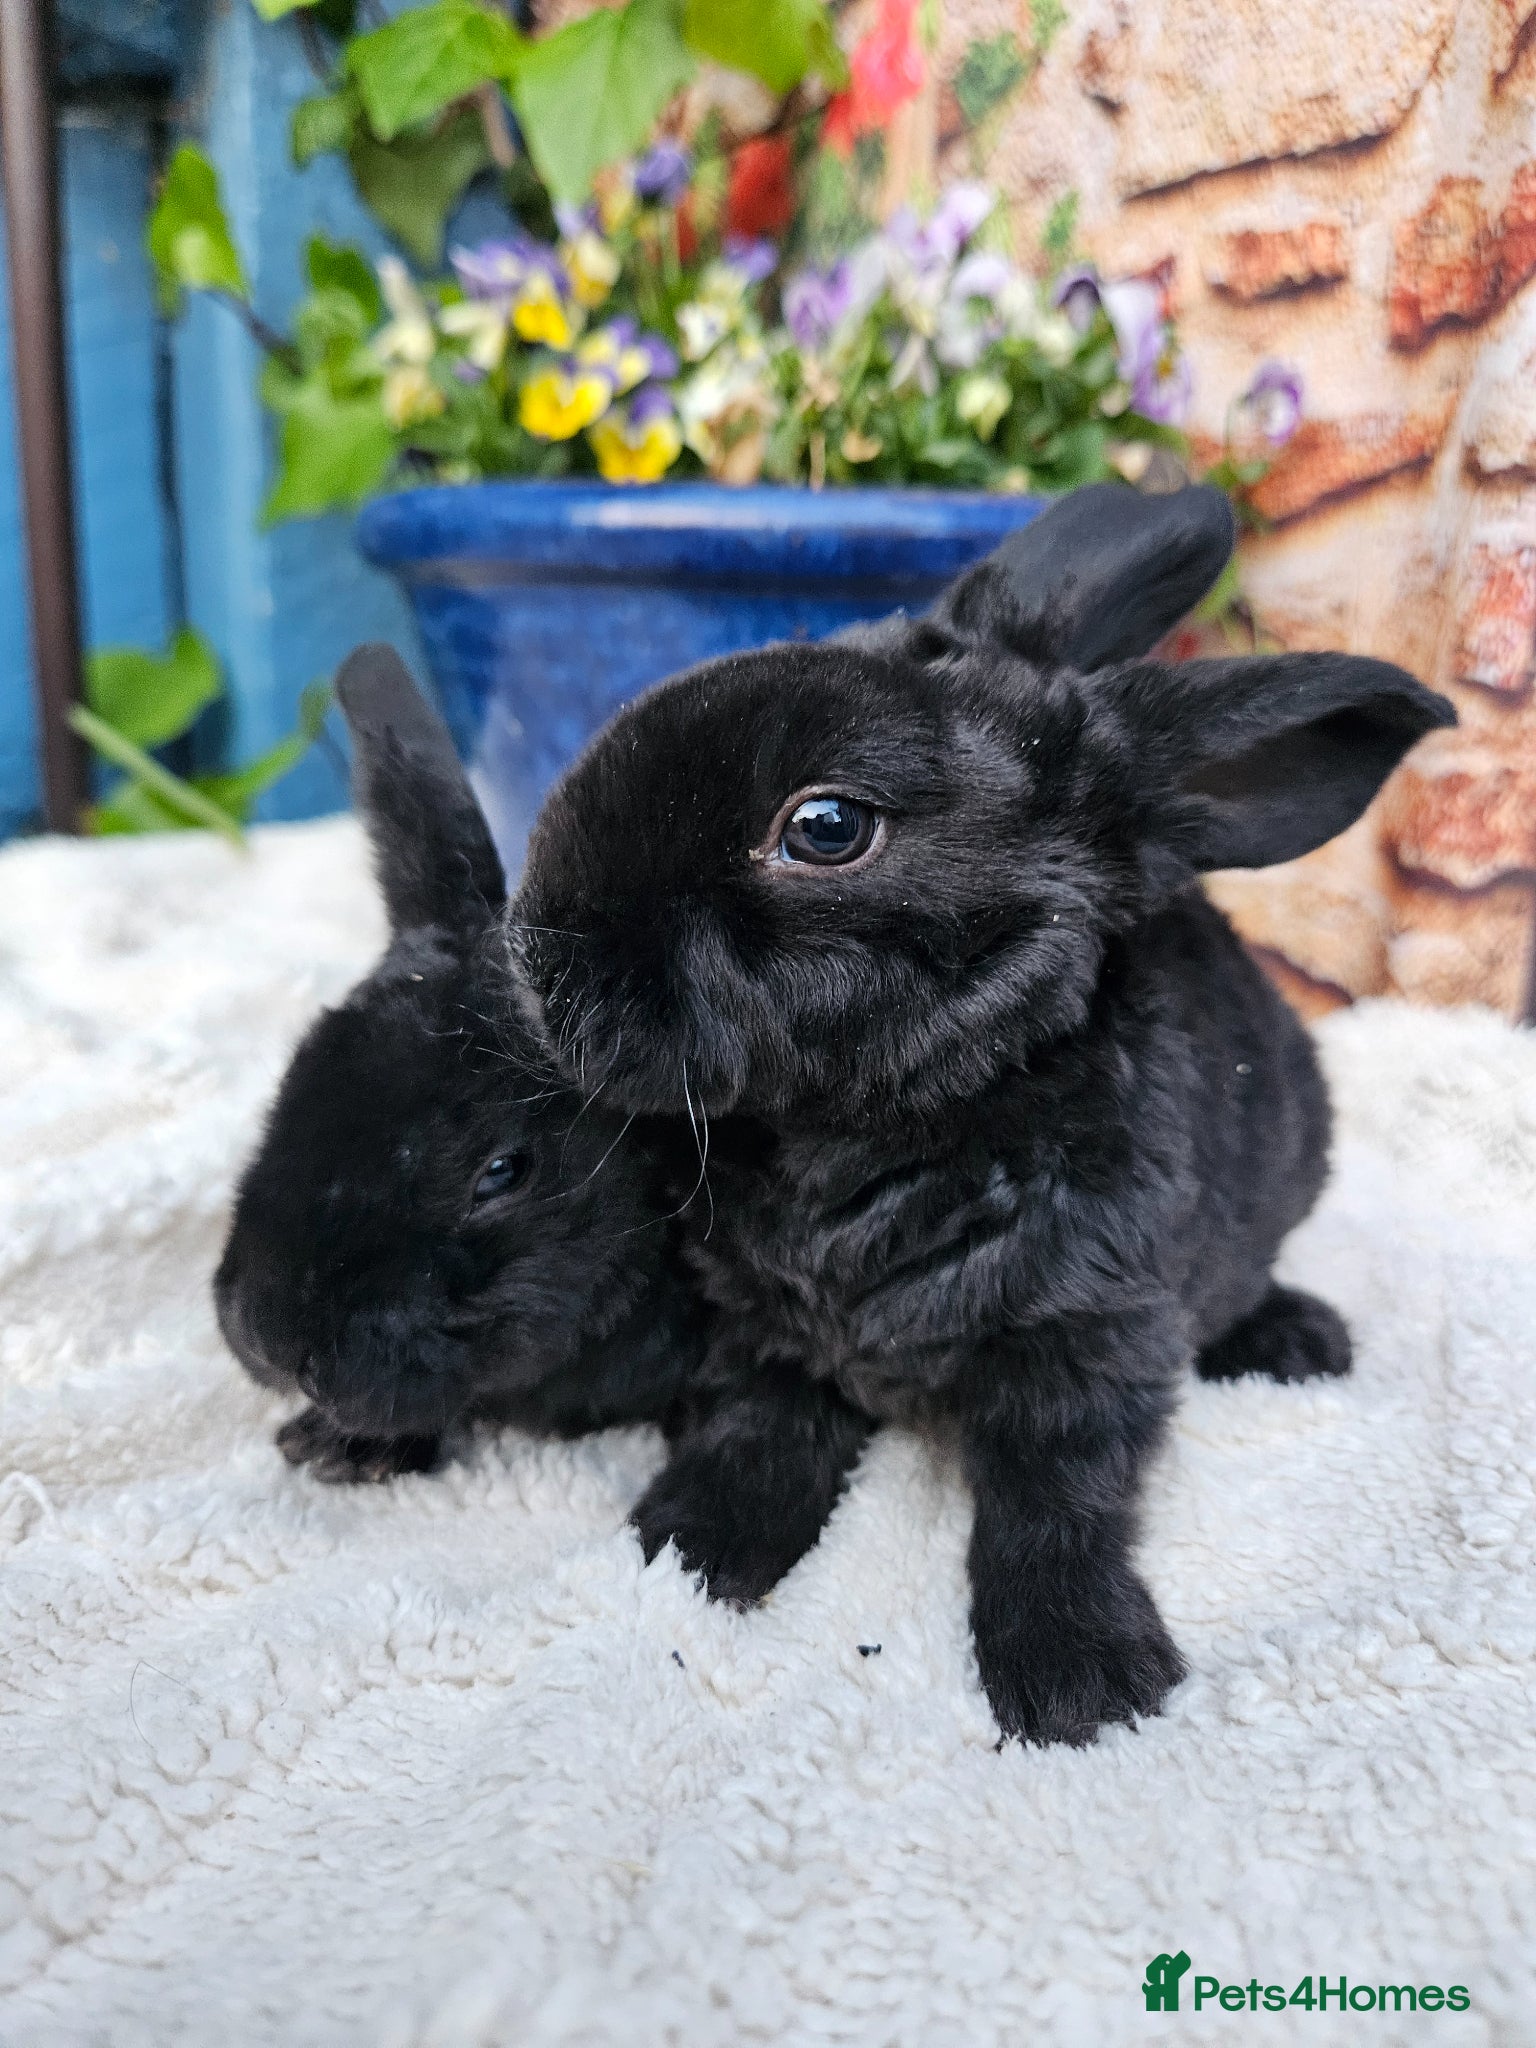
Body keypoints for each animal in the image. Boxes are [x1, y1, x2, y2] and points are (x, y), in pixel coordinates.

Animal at [509, 481, 1456, 1747]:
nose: (534, 951)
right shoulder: (763, 1331)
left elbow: (1052, 1501)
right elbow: (759, 1428)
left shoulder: (1088, 1335)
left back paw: (1299, 1338)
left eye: (825, 827)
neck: (874, 1127)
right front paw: (685, 1548)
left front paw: (1082, 1683)